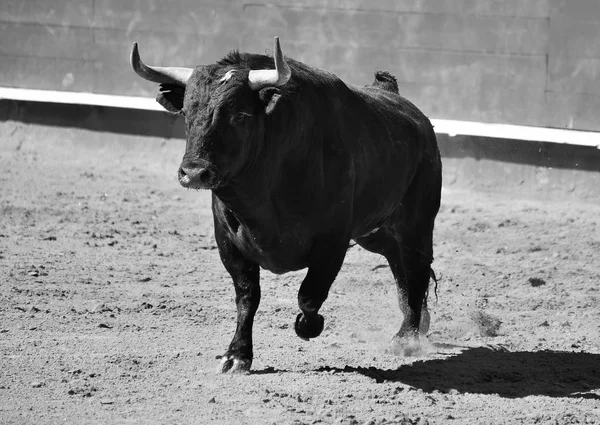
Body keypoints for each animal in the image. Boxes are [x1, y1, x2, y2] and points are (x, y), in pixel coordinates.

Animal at [130, 38, 440, 372]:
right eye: (186, 113)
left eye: (240, 115)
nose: (194, 173)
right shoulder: (228, 241)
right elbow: (247, 296)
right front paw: (236, 355)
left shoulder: (333, 240)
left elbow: (309, 295)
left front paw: (309, 326)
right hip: (374, 230)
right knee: (397, 261)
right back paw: (417, 320)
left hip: (417, 221)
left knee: (417, 266)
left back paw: (406, 336)